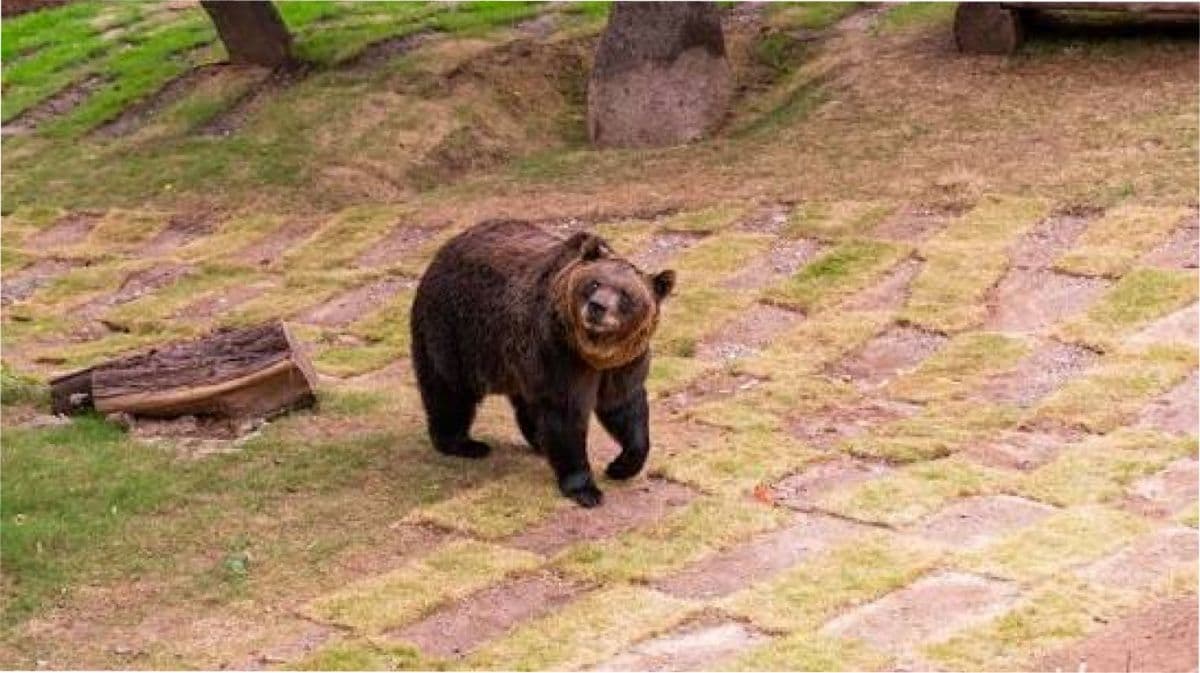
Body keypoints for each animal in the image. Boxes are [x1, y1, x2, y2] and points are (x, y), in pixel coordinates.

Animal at [410, 219, 675, 507]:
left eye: (625, 294)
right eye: (594, 283)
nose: (597, 307)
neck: (594, 352)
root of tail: (445, 249)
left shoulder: (623, 362)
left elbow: (625, 407)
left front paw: (620, 466)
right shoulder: (558, 352)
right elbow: (566, 413)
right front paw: (586, 489)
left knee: (527, 400)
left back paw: (537, 441)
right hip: (455, 330)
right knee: (448, 389)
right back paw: (463, 443)